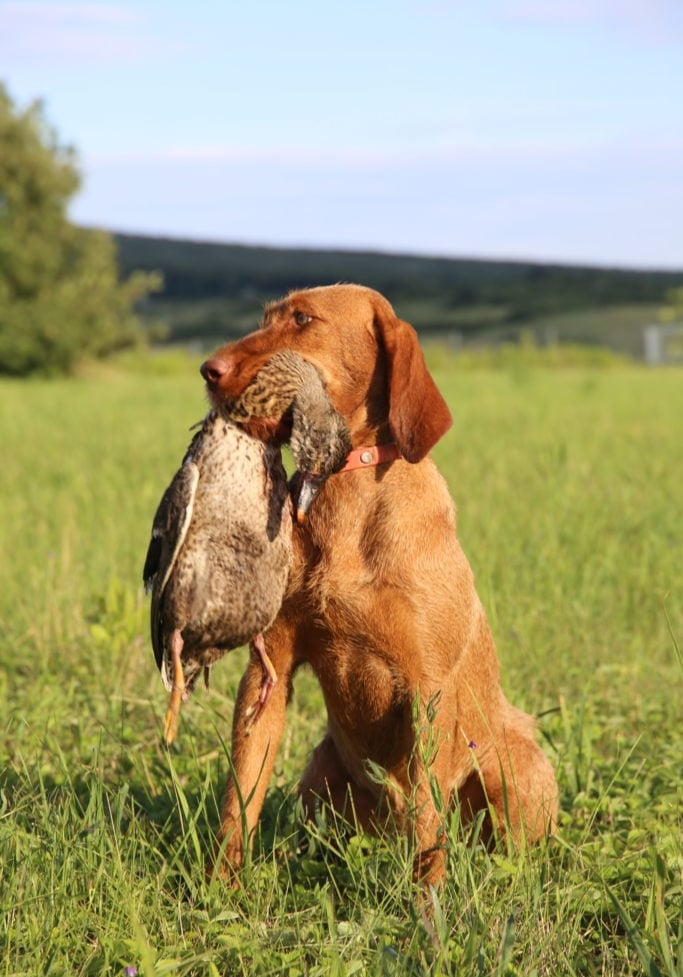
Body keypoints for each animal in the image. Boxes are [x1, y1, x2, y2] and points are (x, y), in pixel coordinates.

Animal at [200, 284, 558, 886]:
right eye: (265, 319)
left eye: (303, 319)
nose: (208, 369)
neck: (348, 497)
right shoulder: (267, 671)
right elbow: (239, 795)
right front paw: (220, 886)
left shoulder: (426, 690)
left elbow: (429, 819)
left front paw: (427, 900)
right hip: (320, 772)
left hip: (518, 769)